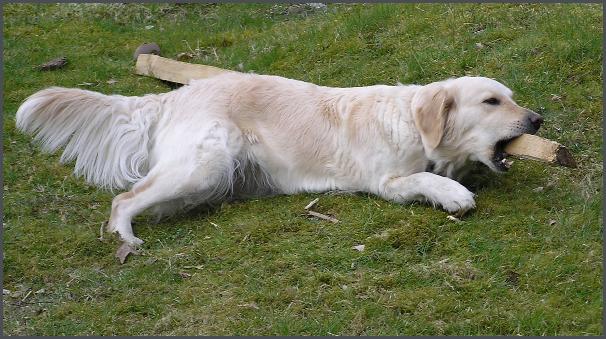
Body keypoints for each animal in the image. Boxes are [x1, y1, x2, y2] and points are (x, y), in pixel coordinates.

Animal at [15, 73, 548, 246]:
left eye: (511, 97)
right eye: (492, 102)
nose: (538, 119)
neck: (414, 123)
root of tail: (174, 95)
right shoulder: (386, 180)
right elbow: (425, 180)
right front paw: (454, 192)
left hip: (209, 175)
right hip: (204, 164)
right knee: (125, 199)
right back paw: (126, 237)